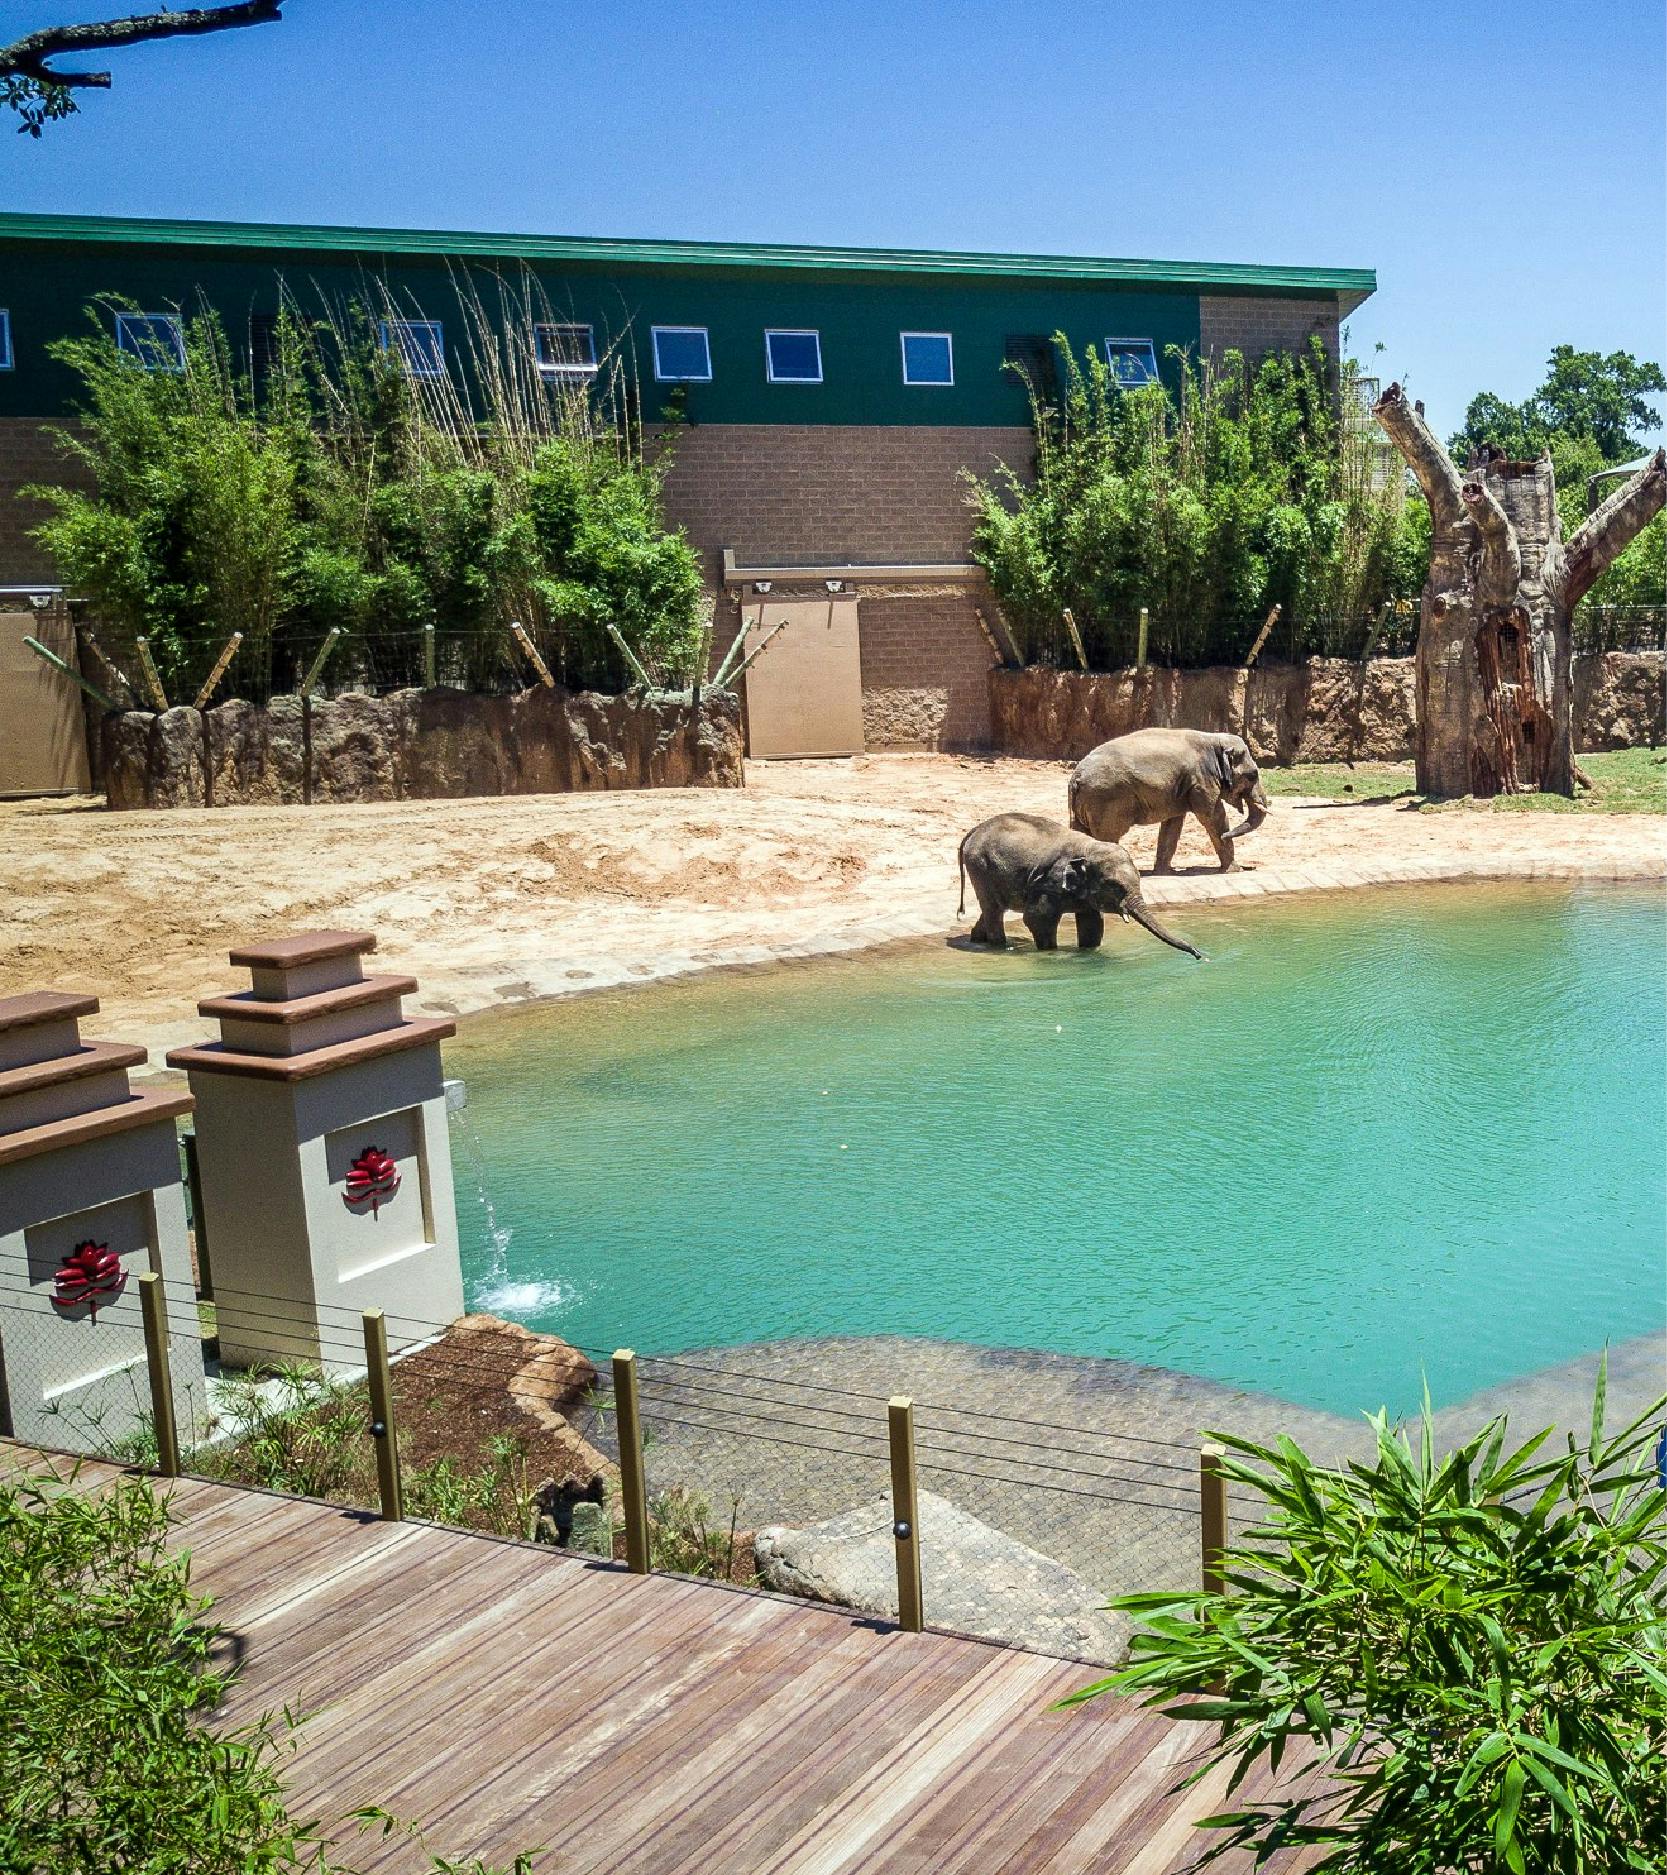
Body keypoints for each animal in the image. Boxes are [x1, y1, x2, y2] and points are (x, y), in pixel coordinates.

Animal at [960, 810, 1200, 960]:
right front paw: (1050, 953)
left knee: (992, 909)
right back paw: (999, 946)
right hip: (980, 866)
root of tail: (974, 829)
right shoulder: (1048, 883)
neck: (1089, 848)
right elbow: (1037, 918)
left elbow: (1092, 923)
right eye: (1114, 886)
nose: (1199, 954)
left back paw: (977, 940)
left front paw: (1089, 953)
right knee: (992, 909)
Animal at [1072, 731, 1267, 877]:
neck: (1214, 739)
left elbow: (1173, 824)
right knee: (1109, 836)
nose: (1227, 835)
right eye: (1253, 775)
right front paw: (1235, 870)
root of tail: (1076, 777)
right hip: (1106, 799)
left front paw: (1165, 872)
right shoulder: (1202, 781)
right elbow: (1212, 817)